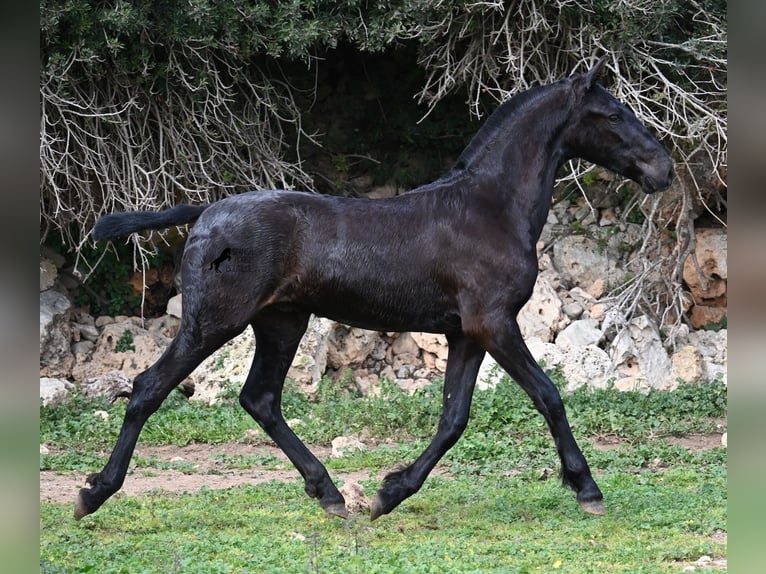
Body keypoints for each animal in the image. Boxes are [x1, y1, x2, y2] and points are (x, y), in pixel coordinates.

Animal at [76, 58, 672, 520]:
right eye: (612, 114)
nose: (663, 168)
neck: (489, 208)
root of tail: (205, 215)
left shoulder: (467, 334)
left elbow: (453, 418)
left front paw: (389, 494)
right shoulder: (494, 323)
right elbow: (548, 395)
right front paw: (587, 489)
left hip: (281, 321)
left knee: (259, 398)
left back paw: (330, 494)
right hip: (215, 321)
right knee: (148, 388)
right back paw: (94, 494)